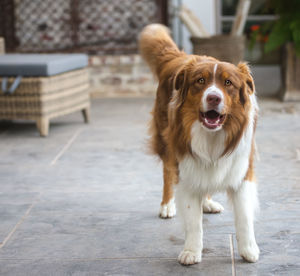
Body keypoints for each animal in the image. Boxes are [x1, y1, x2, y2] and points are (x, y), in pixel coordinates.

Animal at [139, 24, 258, 266]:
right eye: (200, 81)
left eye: (228, 83)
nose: (213, 98)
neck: (212, 136)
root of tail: (180, 57)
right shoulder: (185, 169)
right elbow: (193, 222)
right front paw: (191, 252)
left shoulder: (242, 171)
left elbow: (244, 217)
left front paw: (249, 249)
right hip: (167, 141)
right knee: (167, 172)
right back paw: (167, 205)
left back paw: (208, 203)